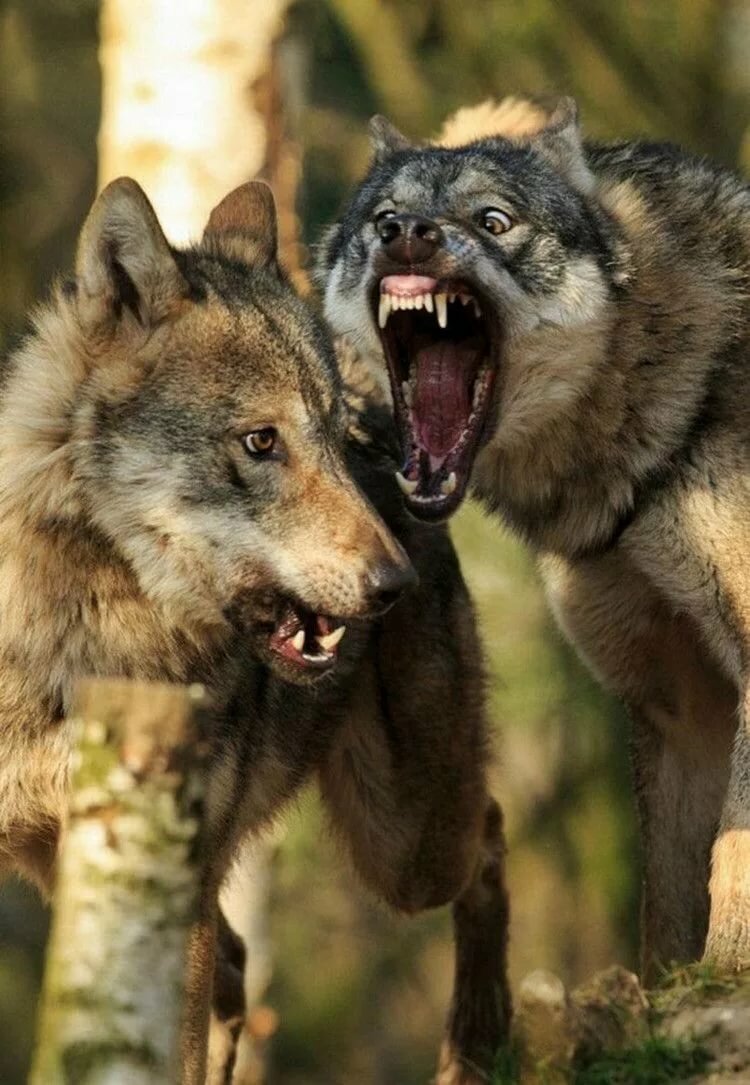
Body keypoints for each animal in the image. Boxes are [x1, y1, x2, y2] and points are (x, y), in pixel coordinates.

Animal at [0, 176, 509, 1083]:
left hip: (406, 850)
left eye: (330, 440)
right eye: (260, 440)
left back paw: (474, 1051)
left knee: (490, 830)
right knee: (237, 968)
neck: (83, 644)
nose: (394, 585)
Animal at [318, 95, 750, 979]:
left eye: (494, 220)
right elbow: (670, 902)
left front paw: (726, 972)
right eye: (382, 217)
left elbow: (735, 863)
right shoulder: (679, 705)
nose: (407, 233)